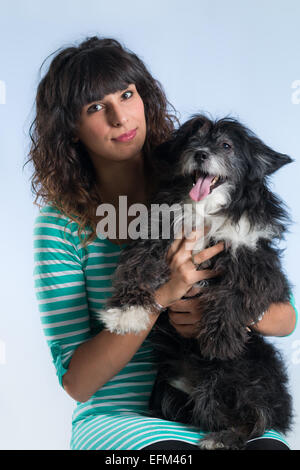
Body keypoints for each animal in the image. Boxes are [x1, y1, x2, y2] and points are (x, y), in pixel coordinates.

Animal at [98, 114, 292, 452]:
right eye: (192, 140)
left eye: (226, 145)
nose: (201, 153)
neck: (206, 210)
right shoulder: (159, 233)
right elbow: (138, 265)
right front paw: (127, 312)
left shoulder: (259, 263)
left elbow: (236, 292)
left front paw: (220, 337)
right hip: (169, 389)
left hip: (246, 370)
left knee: (258, 416)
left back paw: (224, 437)